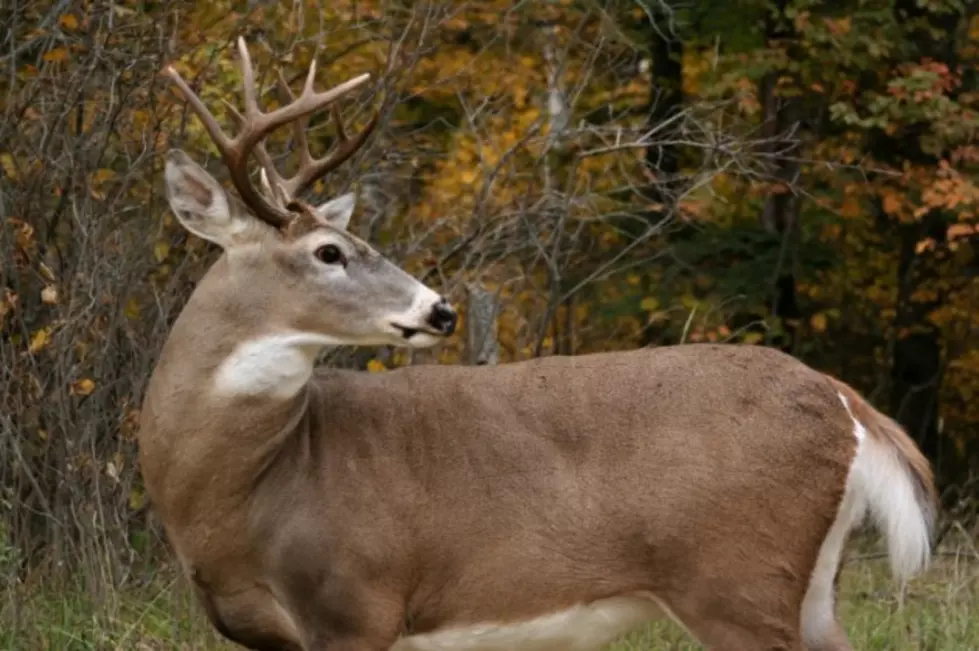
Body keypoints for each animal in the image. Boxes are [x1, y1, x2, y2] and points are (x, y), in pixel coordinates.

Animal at [140, 37, 940, 651]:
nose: (440, 310)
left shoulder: (359, 601)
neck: (245, 495)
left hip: (738, 579)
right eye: (330, 251)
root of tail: (844, 403)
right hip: (811, 586)